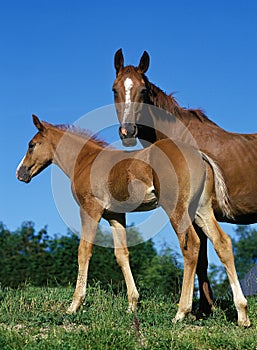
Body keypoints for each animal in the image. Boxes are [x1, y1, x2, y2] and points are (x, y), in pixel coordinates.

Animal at [15, 115, 248, 326]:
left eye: (31, 145)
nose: (20, 173)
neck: (85, 160)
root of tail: (199, 154)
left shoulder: (90, 209)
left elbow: (84, 251)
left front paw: (74, 305)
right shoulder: (115, 216)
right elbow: (122, 255)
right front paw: (132, 305)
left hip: (176, 208)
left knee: (191, 246)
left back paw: (181, 312)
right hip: (201, 209)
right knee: (222, 243)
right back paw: (242, 314)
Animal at [112, 47, 256, 314]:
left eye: (143, 91)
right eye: (115, 89)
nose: (128, 132)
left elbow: (199, 257)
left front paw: (201, 309)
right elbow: (203, 259)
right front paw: (204, 308)